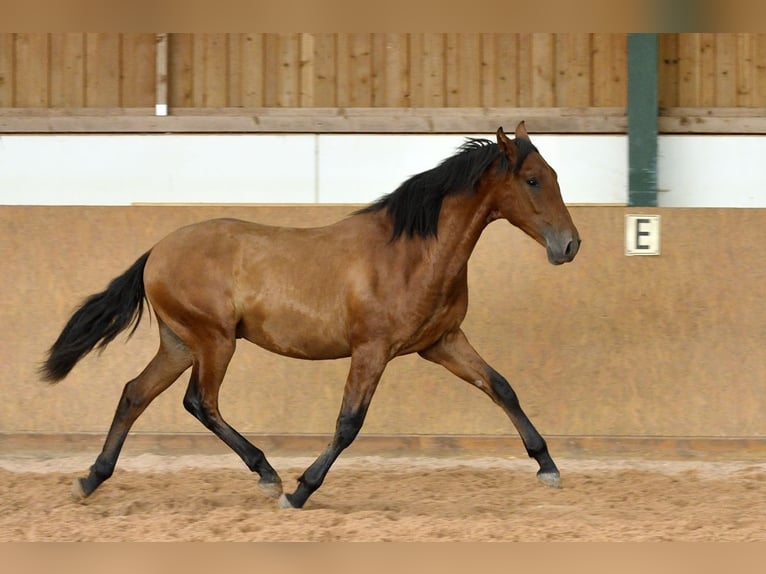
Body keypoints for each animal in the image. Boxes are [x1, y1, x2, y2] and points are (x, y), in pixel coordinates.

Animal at [41, 121, 581, 509]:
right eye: (533, 180)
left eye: (555, 176)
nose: (570, 246)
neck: (411, 253)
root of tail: (157, 252)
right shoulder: (372, 350)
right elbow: (349, 423)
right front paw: (300, 491)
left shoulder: (442, 341)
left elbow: (501, 387)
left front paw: (547, 467)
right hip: (214, 341)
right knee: (200, 402)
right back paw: (267, 475)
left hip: (179, 344)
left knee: (135, 394)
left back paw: (90, 480)